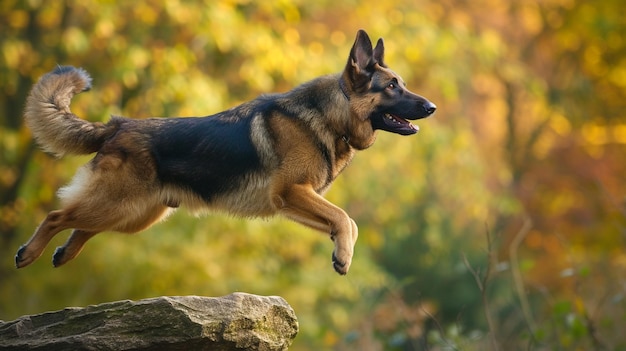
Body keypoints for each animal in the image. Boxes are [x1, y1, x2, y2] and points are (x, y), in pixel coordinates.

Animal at [15, 29, 434, 276]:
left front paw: (340, 251)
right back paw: (29, 253)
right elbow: (346, 218)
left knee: (81, 226)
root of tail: (118, 125)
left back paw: (63, 254)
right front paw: (344, 256)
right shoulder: (293, 192)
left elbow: (345, 222)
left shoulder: (294, 202)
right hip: (118, 204)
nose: (431, 107)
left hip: (132, 215)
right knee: (56, 216)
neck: (332, 113)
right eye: (392, 86)